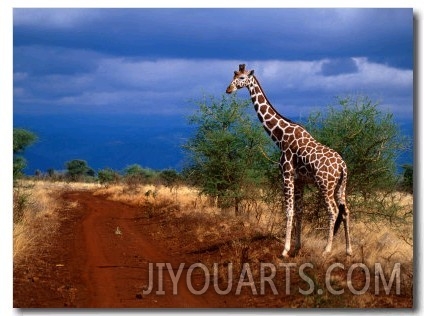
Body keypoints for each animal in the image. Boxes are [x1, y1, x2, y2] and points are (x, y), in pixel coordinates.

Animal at [226, 64, 352, 256]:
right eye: (233, 76)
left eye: (241, 78)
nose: (228, 89)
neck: (280, 136)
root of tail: (343, 166)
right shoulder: (300, 180)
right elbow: (299, 211)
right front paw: (297, 247)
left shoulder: (286, 175)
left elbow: (289, 211)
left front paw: (285, 249)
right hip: (340, 186)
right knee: (345, 211)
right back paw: (348, 250)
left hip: (325, 185)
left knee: (333, 210)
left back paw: (327, 249)